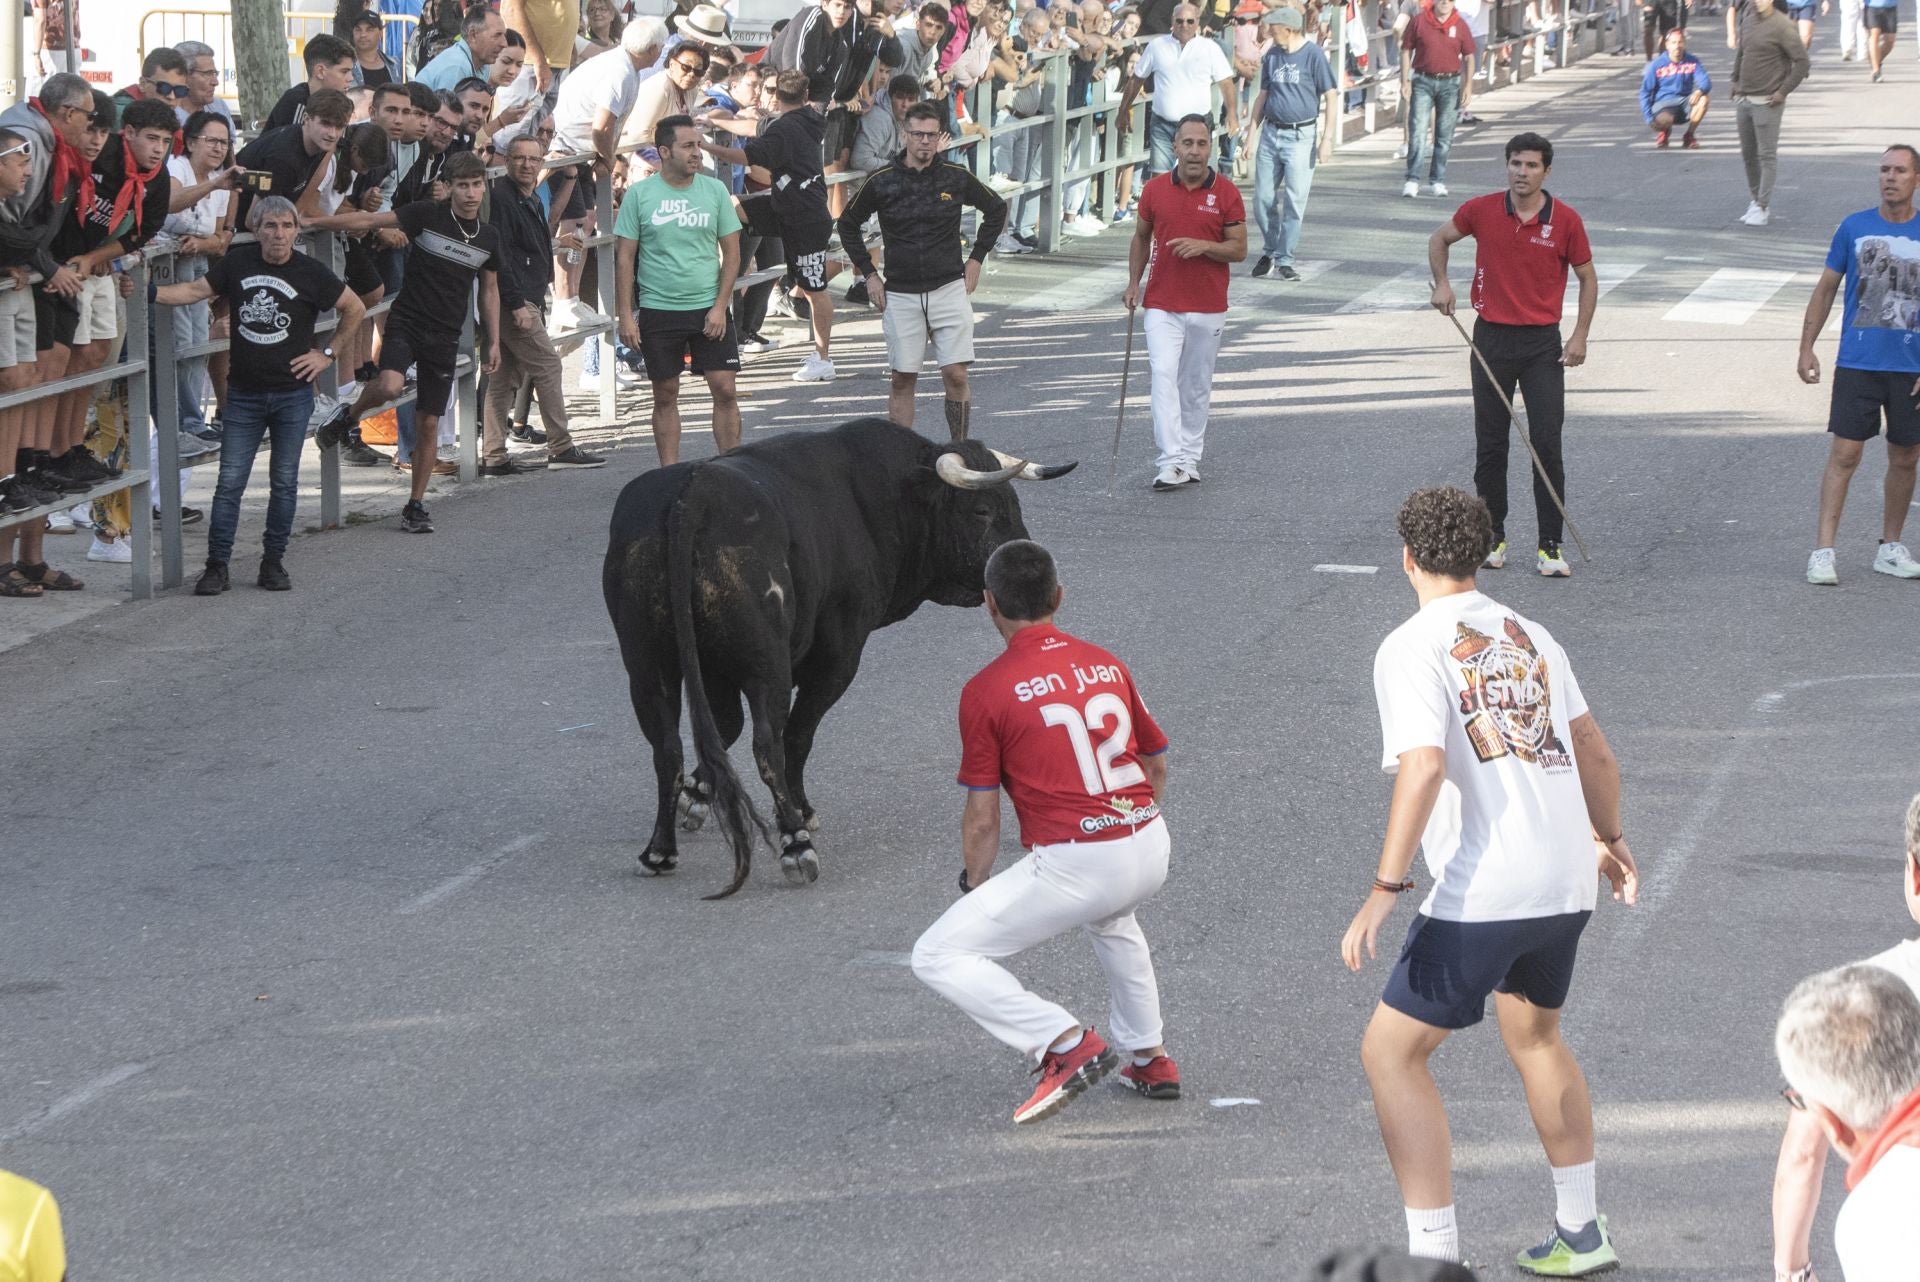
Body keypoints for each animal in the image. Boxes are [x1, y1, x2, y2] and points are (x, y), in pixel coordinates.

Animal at [602, 422, 1082, 902]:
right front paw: (800, 811)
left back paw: (660, 850)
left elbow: (722, 731)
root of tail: (694, 491)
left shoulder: (714, 671)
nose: (1033, 565)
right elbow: (797, 736)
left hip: (646, 664)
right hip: (765, 664)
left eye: (1013, 503)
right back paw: (795, 845)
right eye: (982, 509)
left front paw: (696, 796)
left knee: (668, 747)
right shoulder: (838, 656)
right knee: (767, 742)